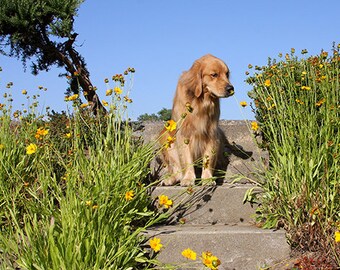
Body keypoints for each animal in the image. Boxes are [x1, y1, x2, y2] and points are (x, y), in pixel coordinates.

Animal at [159, 54, 234, 187]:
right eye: (214, 74)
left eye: (227, 74)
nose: (231, 88)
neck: (200, 102)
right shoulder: (184, 134)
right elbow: (187, 159)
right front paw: (188, 178)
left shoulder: (212, 133)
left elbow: (208, 159)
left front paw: (207, 178)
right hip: (165, 136)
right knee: (176, 170)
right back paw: (171, 179)